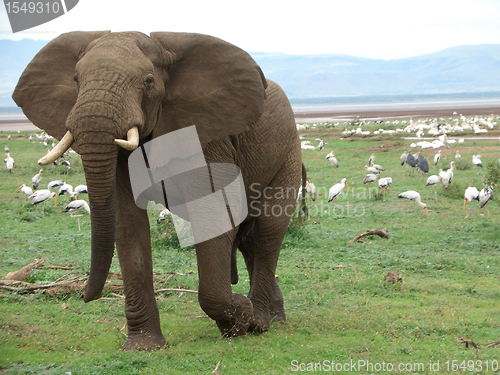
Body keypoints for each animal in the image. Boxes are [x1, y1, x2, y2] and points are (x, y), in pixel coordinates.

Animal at [12, 30, 304, 352]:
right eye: (76, 79)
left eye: (149, 81)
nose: (87, 296)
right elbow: (128, 222)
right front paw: (144, 346)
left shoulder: (207, 137)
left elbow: (213, 213)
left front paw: (241, 318)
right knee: (249, 239)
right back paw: (274, 317)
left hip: (288, 153)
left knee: (267, 230)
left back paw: (261, 321)